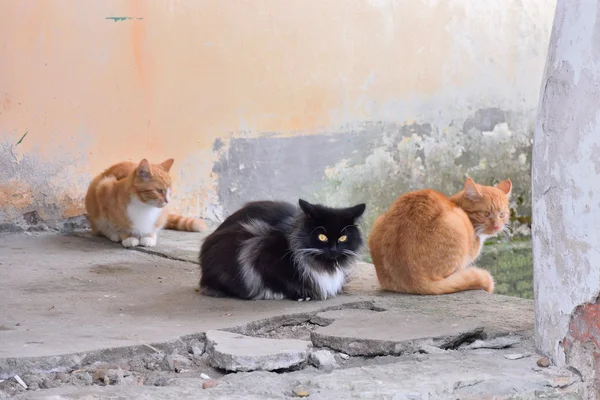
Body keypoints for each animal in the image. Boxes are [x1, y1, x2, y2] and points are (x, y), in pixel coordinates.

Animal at [199, 198, 366, 302]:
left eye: (343, 238)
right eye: (322, 237)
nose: (333, 249)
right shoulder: (261, 253)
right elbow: (281, 280)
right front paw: (301, 295)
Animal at [370, 177, 510, 294]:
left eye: (502, 215)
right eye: (486, 213)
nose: (497, 226)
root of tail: (415, 281)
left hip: (378, 221)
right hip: (457, 223)